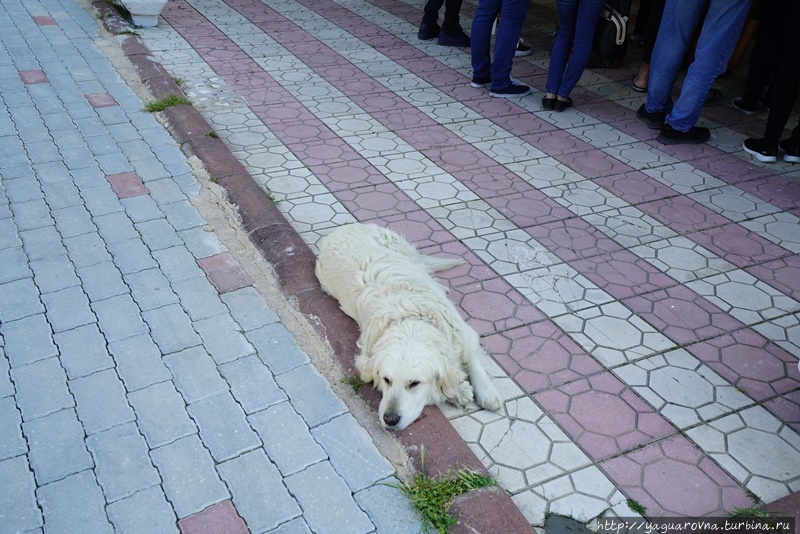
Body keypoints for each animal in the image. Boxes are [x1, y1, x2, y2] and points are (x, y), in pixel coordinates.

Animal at [312, 223, 500, 432]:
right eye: (386, 380)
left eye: (414, 383)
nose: (390, 419)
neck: (412, 320)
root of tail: (342, 228)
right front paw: (458, 391)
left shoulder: (462, 332)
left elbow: (473, 358)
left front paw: (486, 391)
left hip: (399, 247)